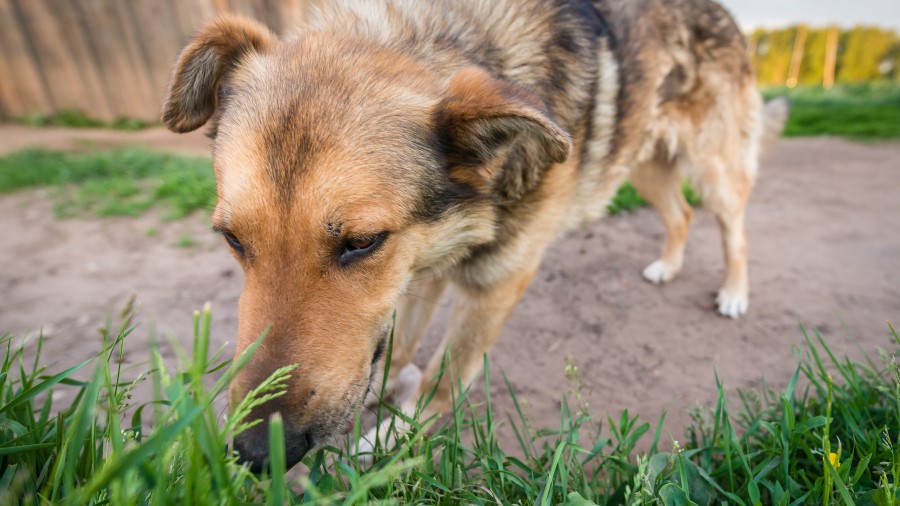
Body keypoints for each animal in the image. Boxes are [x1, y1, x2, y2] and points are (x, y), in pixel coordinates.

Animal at [162, 0, 788, 470]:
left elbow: (444, 374)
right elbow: (402, 340)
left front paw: (392, 438)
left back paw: (735, 292)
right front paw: (386, 388)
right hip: (643, 164)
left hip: (713, 167)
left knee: (734, 227)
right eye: (232, 239)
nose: (252, 453)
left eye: (361, 242)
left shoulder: (496, 280)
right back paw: (669, 265)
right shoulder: (424, 264)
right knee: (681, 215)